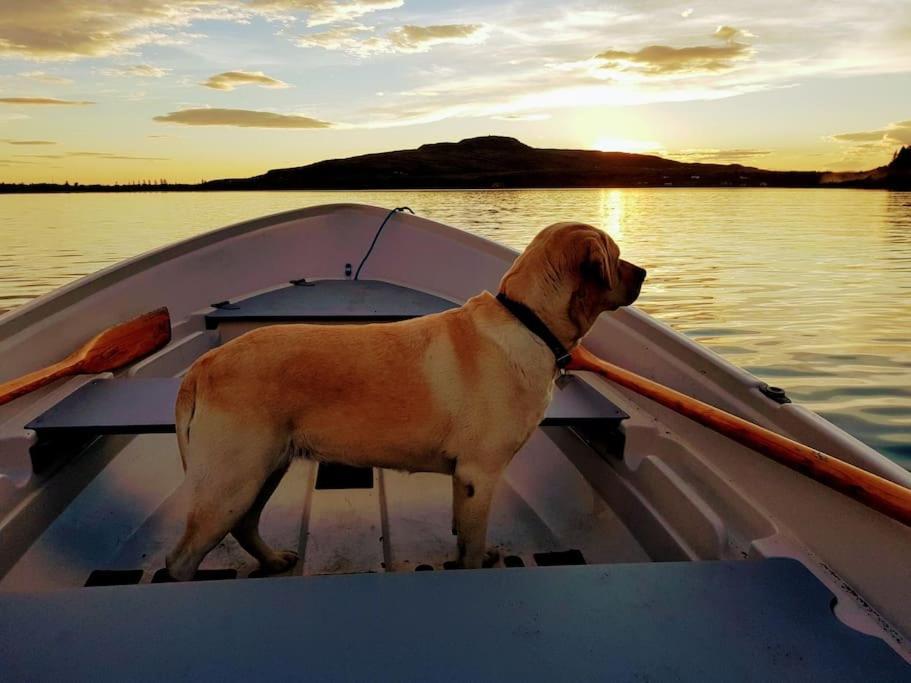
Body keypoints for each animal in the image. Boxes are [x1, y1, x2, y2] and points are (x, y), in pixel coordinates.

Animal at [167, 222, 644, 580]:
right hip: (232, 479)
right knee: (181, 559)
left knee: (245, 525)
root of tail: (202, 365)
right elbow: (472, 544)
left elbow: (462, 533)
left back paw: (273, 560)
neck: (530, 322)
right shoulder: (481, 473)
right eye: (617, 255)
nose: (641, 272)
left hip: (265, 468)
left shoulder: (464, 478)